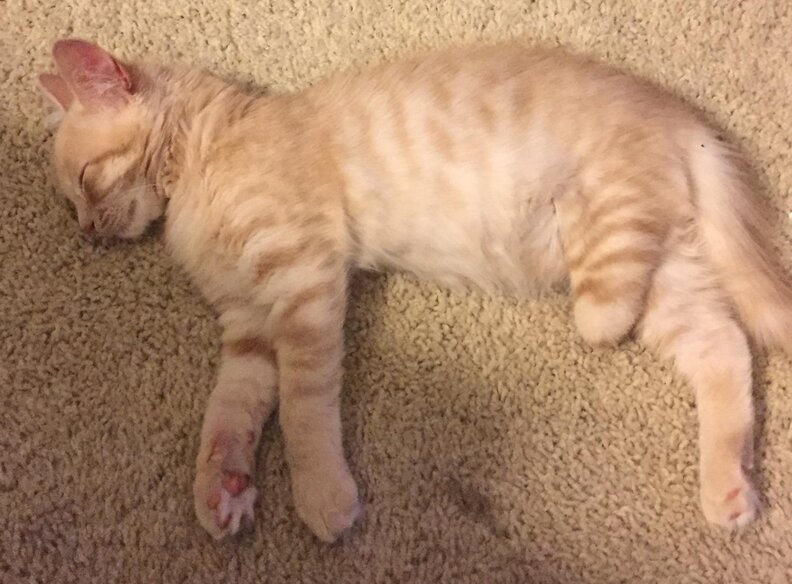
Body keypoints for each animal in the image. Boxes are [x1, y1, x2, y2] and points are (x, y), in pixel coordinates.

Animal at [38, 38, 792, 542]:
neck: (207, 156)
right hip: (676, 277)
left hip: (621, 222)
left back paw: (589, 288)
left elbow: (305, 407)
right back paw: (729, 486)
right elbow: (230, 411)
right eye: (71, 201)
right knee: (722, 344)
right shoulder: (248, 322)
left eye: (85, 183)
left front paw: (322, 494)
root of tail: (687, 121)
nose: (86, 234)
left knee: (615, 306)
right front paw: (222, 486)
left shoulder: (303, 280)